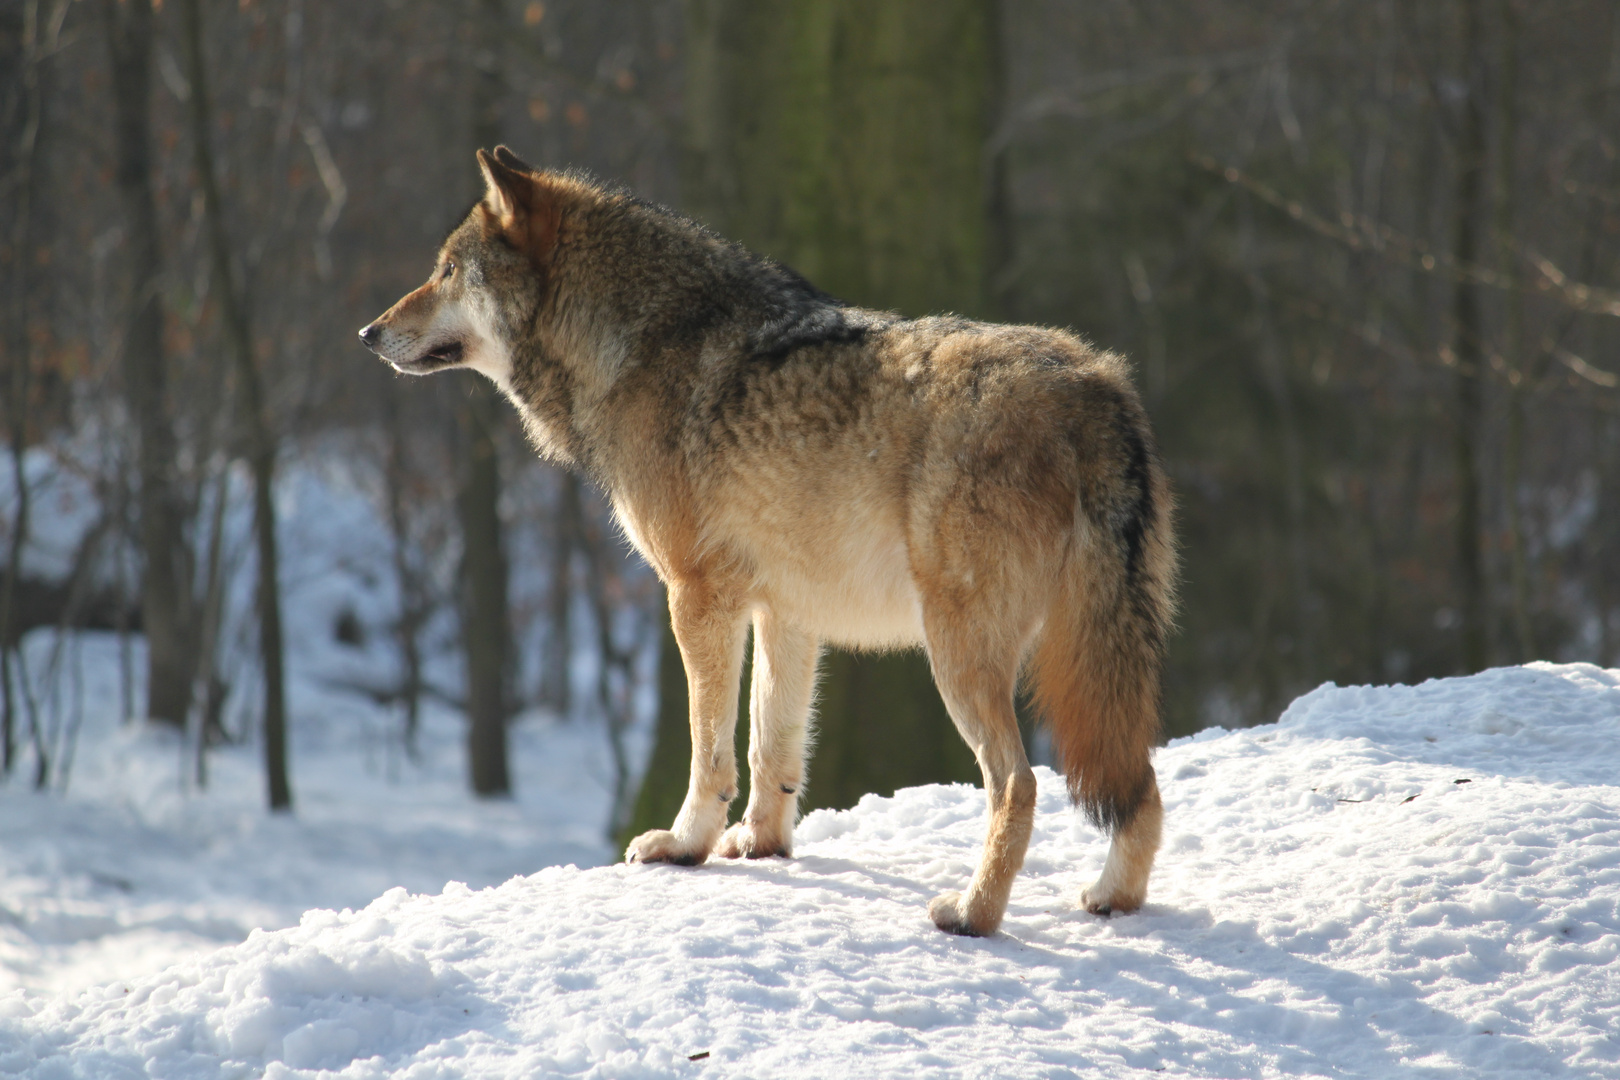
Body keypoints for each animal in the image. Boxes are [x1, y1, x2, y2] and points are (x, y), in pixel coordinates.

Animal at [361, 145, 1179, 939]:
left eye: (446, 272)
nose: (368, 334)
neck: (639, 346)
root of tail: (1097, 391)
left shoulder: (696, 597)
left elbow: (709, 750)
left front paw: (684, 845)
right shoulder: (787, 611)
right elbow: (770, 744)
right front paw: (761, 845)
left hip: (960, 654)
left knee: (1019, 783)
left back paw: (973, 913)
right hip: (1094, 657)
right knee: (1138, 784)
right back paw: (1114, 898)